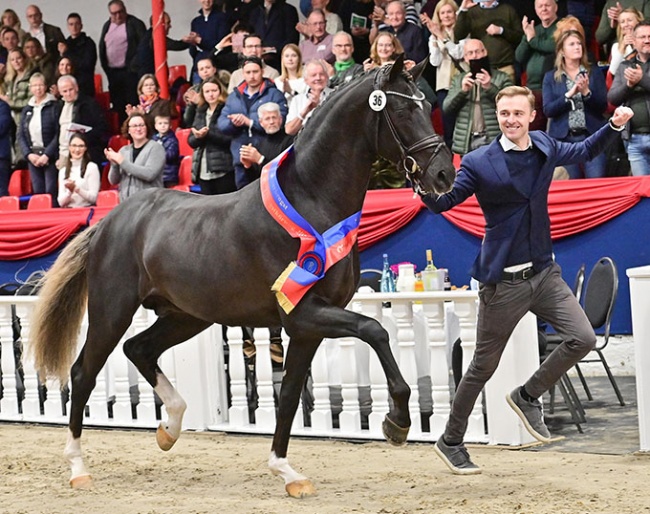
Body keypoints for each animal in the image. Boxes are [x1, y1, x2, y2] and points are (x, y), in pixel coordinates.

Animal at [30, 57, 454, 496]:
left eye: (426, 105)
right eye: (402, 111)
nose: (444, 175)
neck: (311, 202)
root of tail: (108, 221)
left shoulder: (307, 327)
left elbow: (289, 396)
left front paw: (287, 472)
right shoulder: (305, 314)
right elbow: (376, 330)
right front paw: (397, 423)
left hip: (186, 317)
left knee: (139, 349)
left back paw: (170, 428)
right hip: (112, 311)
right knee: (83, 374)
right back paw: (78, 467)